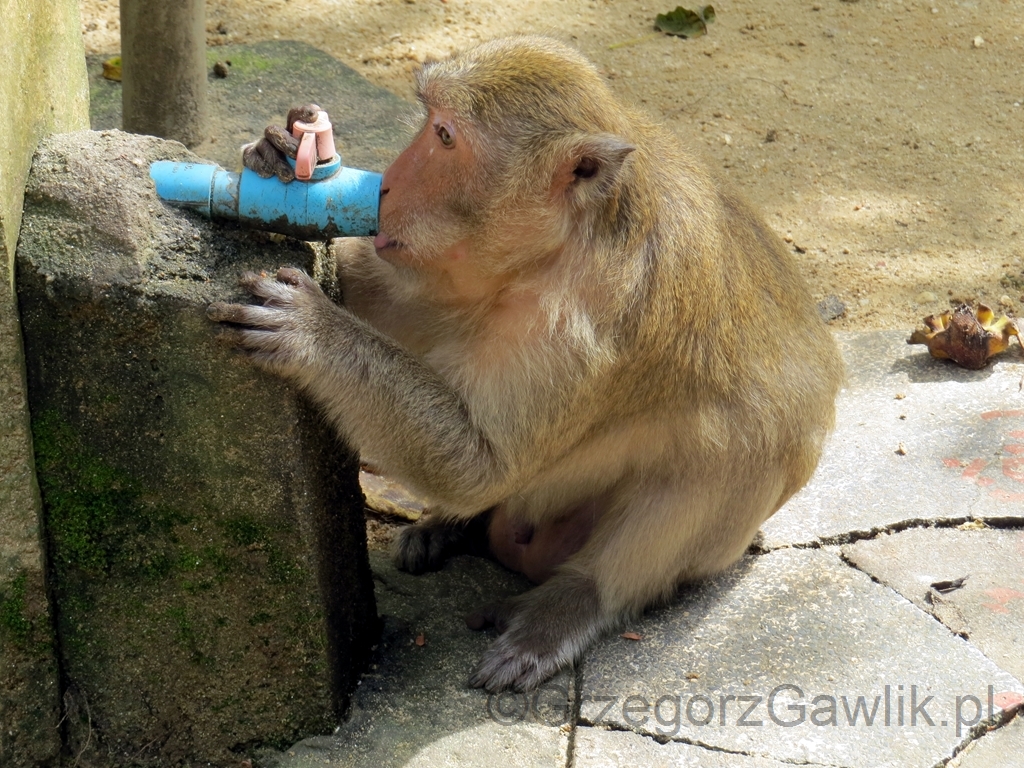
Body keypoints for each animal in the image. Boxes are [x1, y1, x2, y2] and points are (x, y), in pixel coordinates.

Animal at [207, 34, 839, 696]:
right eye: (429, 122)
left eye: (446, 137)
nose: (386, 186)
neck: (554, 248)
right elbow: (386, 295)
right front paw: (278, 153)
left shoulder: (578, 323)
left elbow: (482, 465)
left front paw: (314, 334)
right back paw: (448, 528)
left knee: (736, 444)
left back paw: (573, 604)